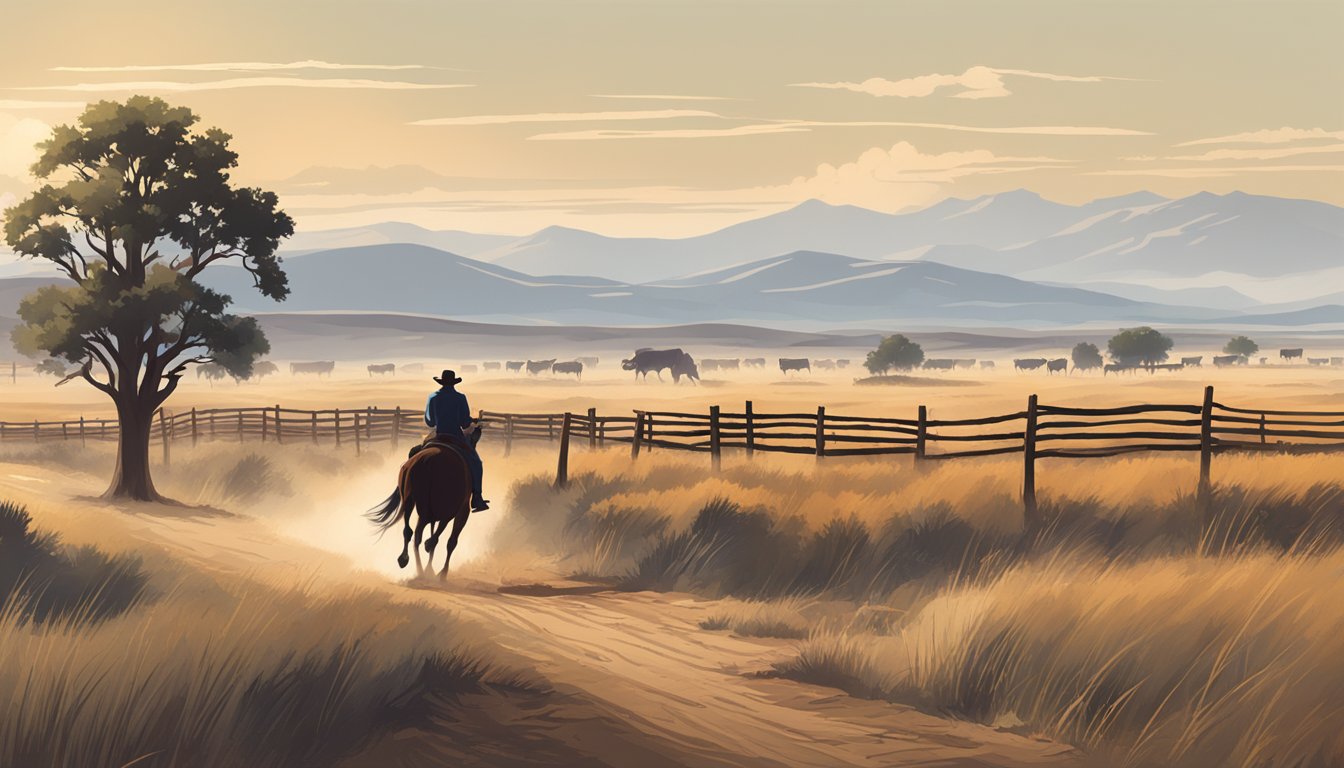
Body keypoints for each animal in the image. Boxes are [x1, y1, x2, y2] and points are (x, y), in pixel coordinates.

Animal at [362, 435, 478, 581]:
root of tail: (427, 460)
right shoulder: (461, 511)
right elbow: (450, 541)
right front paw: (442, 573)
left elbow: (434, 536)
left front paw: (431, 568)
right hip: (434, 509)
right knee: (423, 534)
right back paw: (422, 568)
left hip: (409, 501)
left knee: (410, 531)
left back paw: (407, 561)